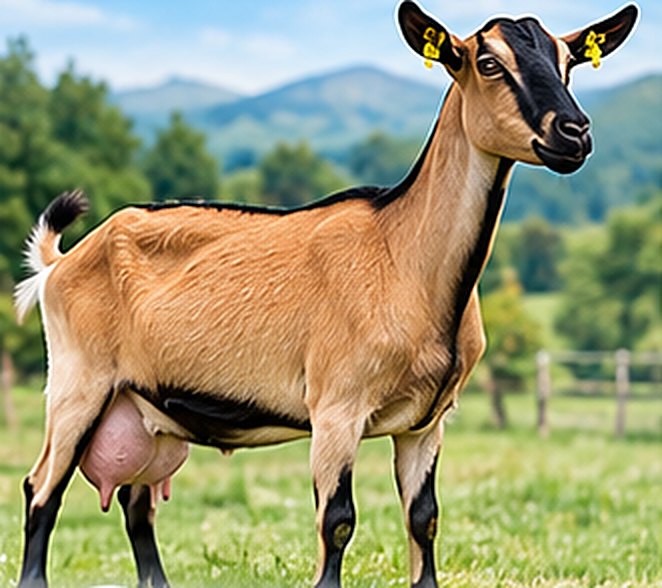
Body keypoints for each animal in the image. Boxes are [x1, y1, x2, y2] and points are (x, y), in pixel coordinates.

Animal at [14, 2, 637, 587]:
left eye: (569, 61)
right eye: (487, 63)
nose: (574, 133)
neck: (403, 256)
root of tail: (63, 263)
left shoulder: (426, 422)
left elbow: (425, 520)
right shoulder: (337, 406)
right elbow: (337, 521)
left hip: (146, 408)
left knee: (136, 505)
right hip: (79, 382)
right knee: (42, 490)